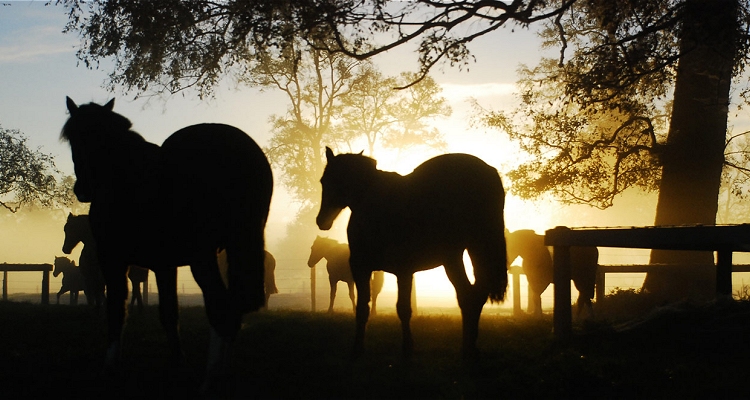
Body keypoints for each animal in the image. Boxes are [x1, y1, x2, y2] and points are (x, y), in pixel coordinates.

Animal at [61, 97, 274, 394]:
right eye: (73, 138)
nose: (83, 189)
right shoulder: (164, 265)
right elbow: (169, 314)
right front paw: (177, 364)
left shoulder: (112, 260)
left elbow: (116, 310)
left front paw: (109, 367)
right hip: (237, 248)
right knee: (234, 307)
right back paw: (222, 373)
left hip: (203, 257)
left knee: (221, 308)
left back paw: (211, 379)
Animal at [314, 148, 508, 360]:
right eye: (323, 180)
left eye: (330, 180)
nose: (321, 221)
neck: (375, 206)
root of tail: (488, 170)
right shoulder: (361, 268)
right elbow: (362, 309)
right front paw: (357, 349)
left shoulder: (403, 270)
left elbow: (403, 309)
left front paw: (407, 348)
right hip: (458, 256)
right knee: (470, 295)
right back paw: (469, 348)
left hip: (470, 250)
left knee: (472, 294)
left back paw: (469, 349)